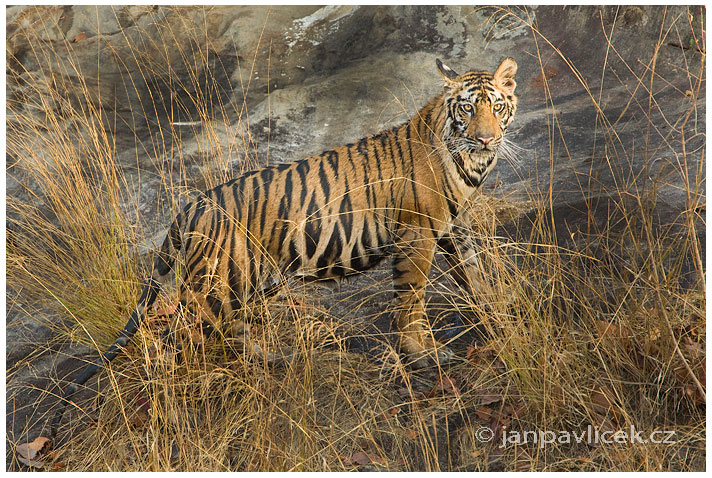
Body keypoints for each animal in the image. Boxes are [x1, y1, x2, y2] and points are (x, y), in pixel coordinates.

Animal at [50, 57, 516, 436]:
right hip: (213, 288)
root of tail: (191, 205)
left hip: (247, 280)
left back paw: (273, 359)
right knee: (167, 349)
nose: (486, 140)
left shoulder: (456, 228)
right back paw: (171, 416)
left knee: (228, 332)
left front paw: (499, 319)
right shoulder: (417, 236)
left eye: (496, 107)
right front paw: (424, 355)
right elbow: (412, 302)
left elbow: (476, 276)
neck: (468, 162)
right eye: (467, 108)